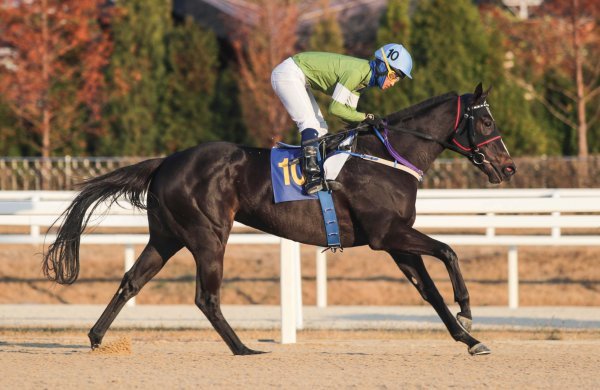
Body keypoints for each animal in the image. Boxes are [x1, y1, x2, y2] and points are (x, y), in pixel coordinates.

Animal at [43, 83, 516, 356]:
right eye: (485, 120)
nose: (508, 167)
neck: (387, 157)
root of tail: (165, 162)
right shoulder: (388, 234)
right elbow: (449, 251)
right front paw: (468, 309)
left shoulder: (395, 242)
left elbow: (430, 292)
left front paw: (469, 339)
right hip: (209, 235)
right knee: (206, 297)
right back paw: (243, 349)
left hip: (166, 236)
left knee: (131, 281)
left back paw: (96, 337)